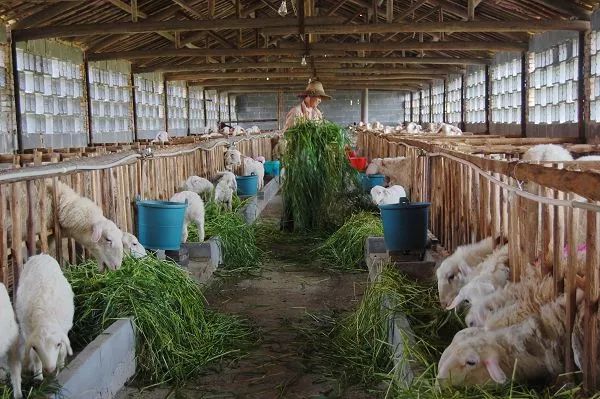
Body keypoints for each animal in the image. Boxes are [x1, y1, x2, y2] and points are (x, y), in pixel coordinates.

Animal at [11, 255, 74, 398]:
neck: (45, 318)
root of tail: (40, 255)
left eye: (57, 344)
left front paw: (61, 367)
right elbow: (35, 358)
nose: (49, 369)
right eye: (35, 347)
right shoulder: (28, 333)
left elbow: (63, 351)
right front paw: (38, 377)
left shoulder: (64, 331)